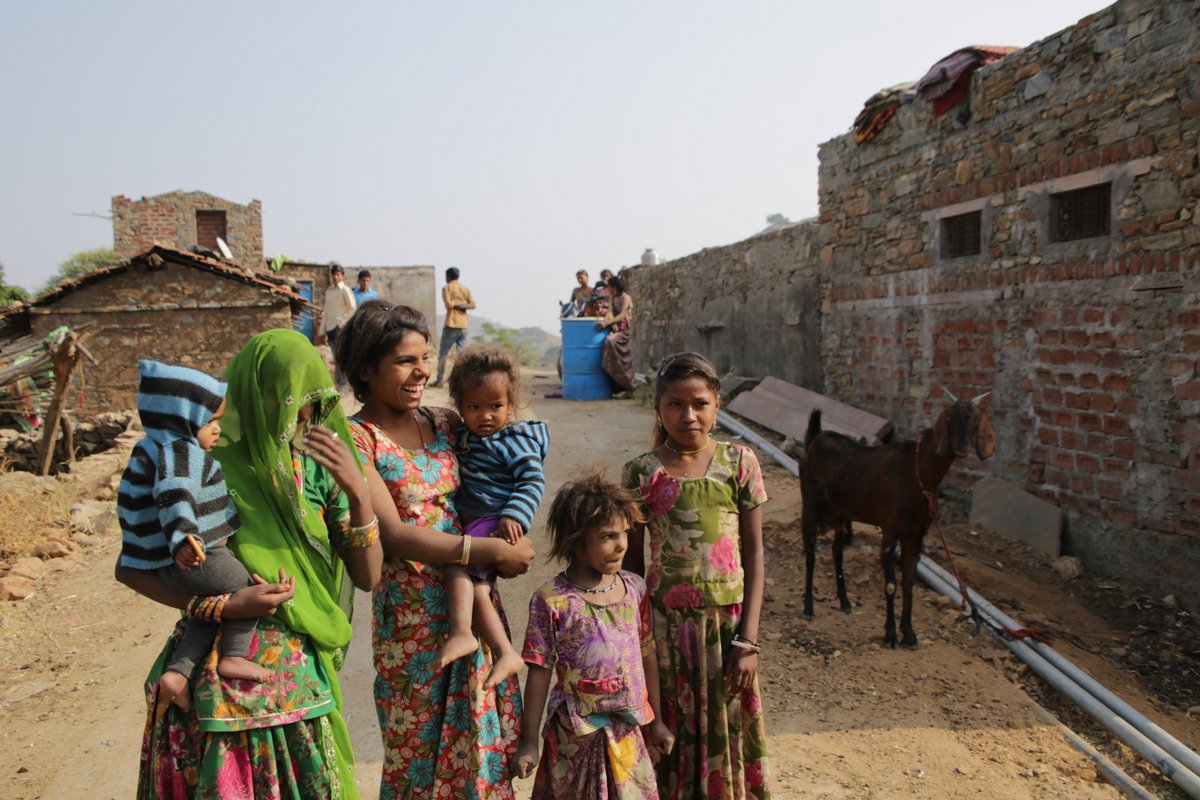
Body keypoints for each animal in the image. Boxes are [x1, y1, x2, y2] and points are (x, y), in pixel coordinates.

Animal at [801, 393, 998, 652]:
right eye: (949, 417)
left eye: (975, 420)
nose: (962, 446)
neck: (918, 475)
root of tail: (816, 439)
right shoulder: (890, 530)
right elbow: (891, 585)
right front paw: (891, 635)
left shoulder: (915, 535)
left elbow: (908, 583)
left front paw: (909, 634)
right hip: (810, 499)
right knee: (811, 549)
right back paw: (808, 607)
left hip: (841, 511)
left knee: (836, 551)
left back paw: (844, 601)